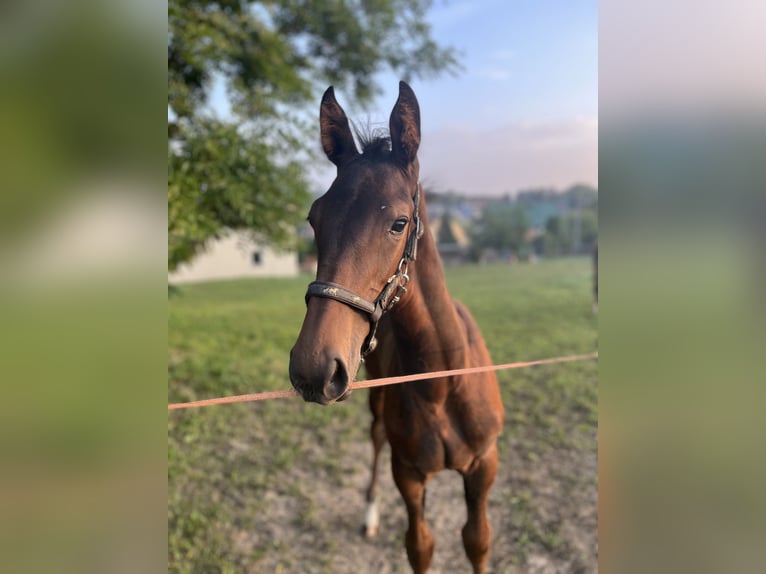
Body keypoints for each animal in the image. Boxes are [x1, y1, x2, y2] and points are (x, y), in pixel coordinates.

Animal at [289, 81, 504, 574]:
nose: (312, 368)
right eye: (314, 218)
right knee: (375, 437)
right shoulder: (408, 473)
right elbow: (419, 546)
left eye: (399, 222)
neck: (443, 381)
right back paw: (369, 511)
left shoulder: (484, 465)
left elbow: (478, 541)